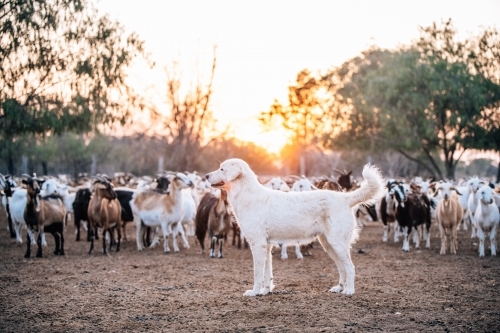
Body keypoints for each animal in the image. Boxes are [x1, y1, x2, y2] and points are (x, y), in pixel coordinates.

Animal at [206, 158, 382, 296]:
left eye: (222, 169)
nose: (206, 176)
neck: (247, 194)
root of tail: (345, 197)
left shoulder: (258, 245)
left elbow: (257, 273)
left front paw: (254, 292)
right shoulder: (266, 246)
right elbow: (267, 273)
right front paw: (265, 291)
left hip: (338, 244)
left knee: (350, 267)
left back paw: (349, 291)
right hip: (329, 245)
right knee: (342, 268)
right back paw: (339, 288)